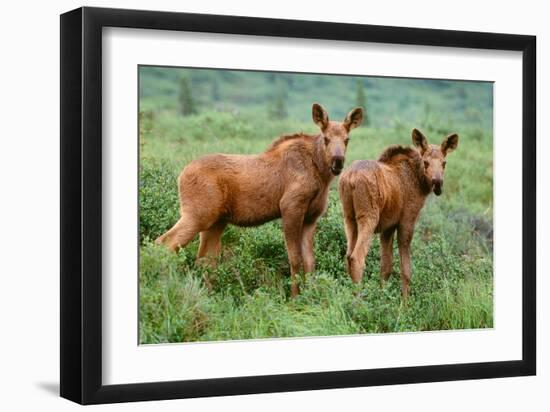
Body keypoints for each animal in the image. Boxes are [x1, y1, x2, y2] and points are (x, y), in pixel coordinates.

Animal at [158, 103, 366, 296]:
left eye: (347, 139)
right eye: (326, 138)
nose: (338, 161)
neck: (321, 175)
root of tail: (181, 175)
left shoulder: (311, 217)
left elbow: (310, 261)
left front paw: (310, 296)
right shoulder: (290, 207)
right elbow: (295, 258)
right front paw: (294, 297)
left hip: (216, 222)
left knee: (205, 259)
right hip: (197, 214)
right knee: (165, 243)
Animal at [338, 129, 460, 300]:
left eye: (444, 163)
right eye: (426, 162)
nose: (437, 183)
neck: (419, 181)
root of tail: (350, 178)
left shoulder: (388, 227)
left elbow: (386, 267)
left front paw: (383, 297)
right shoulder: (407, 221)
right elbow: (406, 270)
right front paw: (404, 304)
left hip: (348, 218)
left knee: (348, 256)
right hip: (368, 217)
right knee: (357, 258)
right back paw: (358, 300)